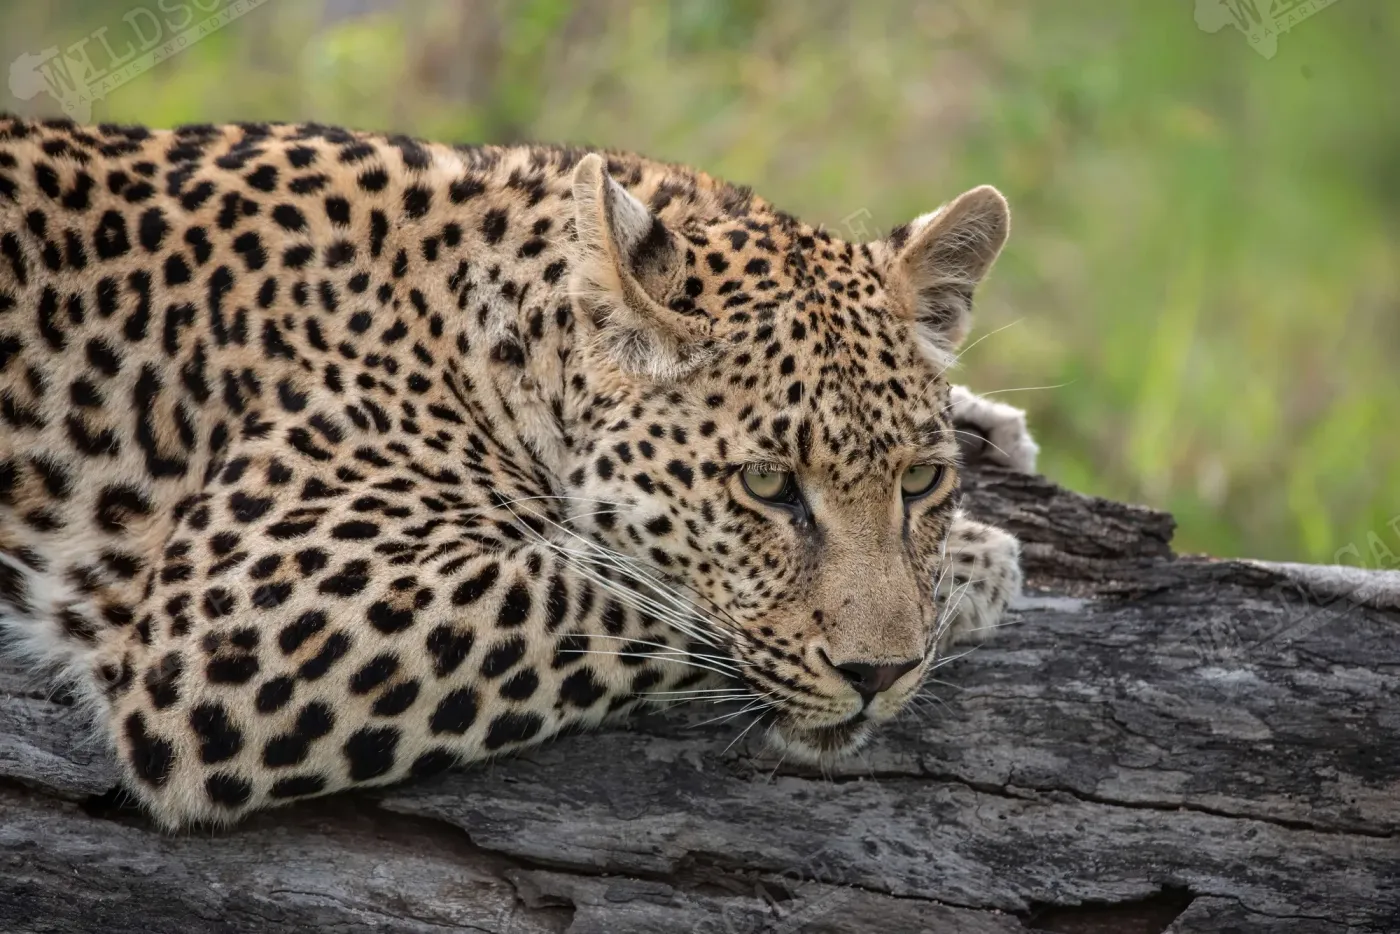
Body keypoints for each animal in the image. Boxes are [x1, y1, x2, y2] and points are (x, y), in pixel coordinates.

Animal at [0, 115, 1037, 830]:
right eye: (766, 485)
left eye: (919, 484)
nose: (881, 673)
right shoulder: (242, 619)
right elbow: (609, 583)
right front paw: (981, 562)